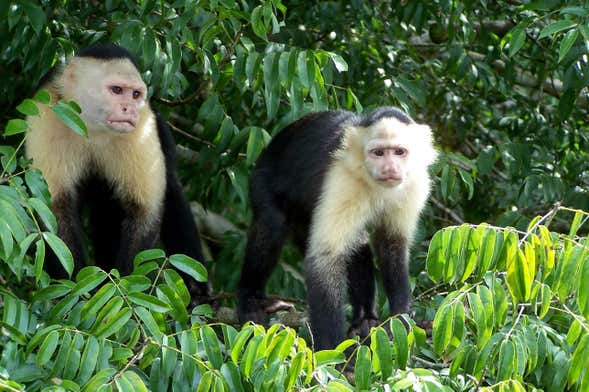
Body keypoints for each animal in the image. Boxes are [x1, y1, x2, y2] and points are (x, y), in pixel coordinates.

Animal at [26, 45, 208, 298]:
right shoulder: (46, 115)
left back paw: (196, 290)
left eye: (135, 95)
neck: (90, 126)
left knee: (169, 193)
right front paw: (77, 292)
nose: (129, 109)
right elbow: (54, 211)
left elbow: (144, 212)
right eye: (117, 90)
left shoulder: (142, 126)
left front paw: (123, 291)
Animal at [238, 106, 436, 350]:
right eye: (378, 153)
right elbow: (326, 258)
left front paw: (401, 318)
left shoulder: (415, 183)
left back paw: (364, 319)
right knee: (272, 223)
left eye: (399, 152)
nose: (390, 168)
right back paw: (249, 297)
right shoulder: (342, 177)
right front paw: (331, 351)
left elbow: (392, 245)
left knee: (357, 243)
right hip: (262, 178)